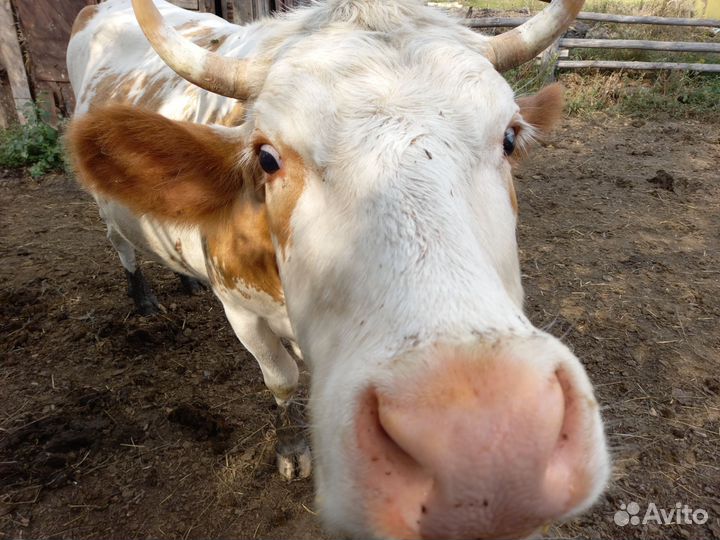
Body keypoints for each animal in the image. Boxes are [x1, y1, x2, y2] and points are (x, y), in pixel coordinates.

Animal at [66, 0, 610, 538]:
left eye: (510, 138)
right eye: (267, 158)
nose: (486, 442)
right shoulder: (241, 311)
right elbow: (281, 379)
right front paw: (290, 448)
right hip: (106, 208)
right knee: (120, 243)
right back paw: (143, 298)